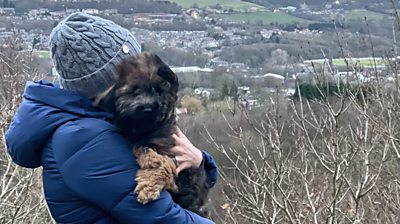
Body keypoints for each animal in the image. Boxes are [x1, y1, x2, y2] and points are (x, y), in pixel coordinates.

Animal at [94, 52, 209, 215]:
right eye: (134, 91)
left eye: (159, 92)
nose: (147, 108)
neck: (143, 129)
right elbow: (150, 155)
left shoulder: (169, 147)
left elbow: (161, 165)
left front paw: (147, 189)